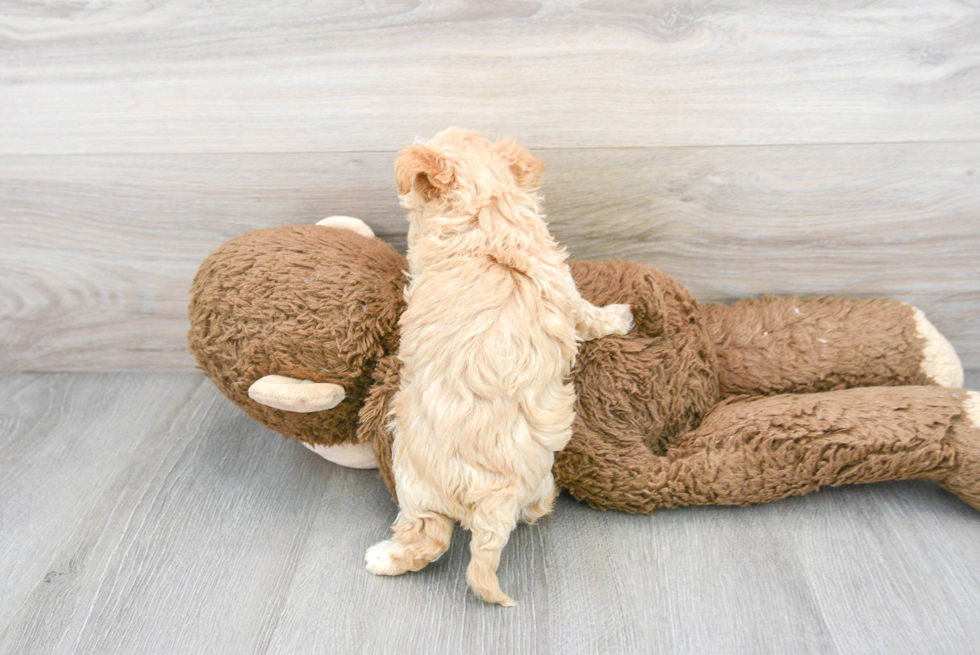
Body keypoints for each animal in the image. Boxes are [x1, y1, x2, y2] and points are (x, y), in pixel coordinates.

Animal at [364, 129, 632, 608]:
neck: (488, 216)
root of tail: (494, 494)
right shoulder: (566, 292)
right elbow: (590, 314)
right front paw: (620, 316)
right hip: (529, 475)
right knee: (523, 510)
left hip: (412, 475)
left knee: (428, 538)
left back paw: (384, 558)